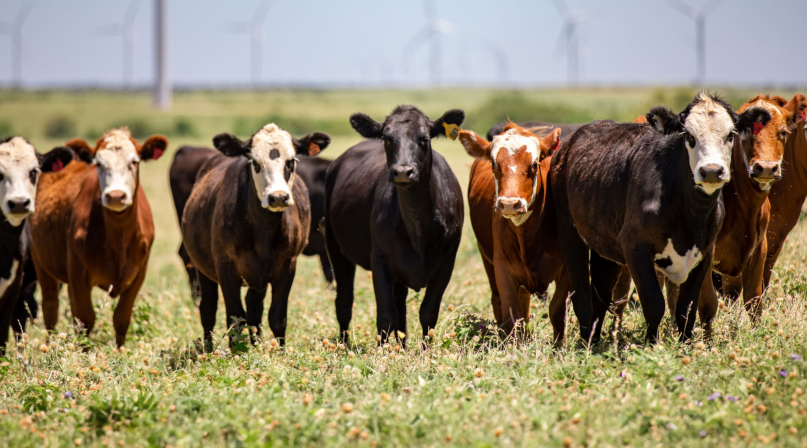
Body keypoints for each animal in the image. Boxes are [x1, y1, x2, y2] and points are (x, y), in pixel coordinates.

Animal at [29, 128, 167, 347]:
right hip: (42, 263)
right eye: (99, 164)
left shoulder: (139, 273)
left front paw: (120, 351)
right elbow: (85, 319)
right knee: (50, 308)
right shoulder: (78, 273)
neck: (118, 236)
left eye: (134, 162)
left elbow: (121, 318)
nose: (116, 196)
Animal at [325, 106, 465, 345]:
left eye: (424, 139)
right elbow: (385, 316)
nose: (402, 171)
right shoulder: (380, 259)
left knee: (400, 305)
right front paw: (382, 351)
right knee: (344, 301)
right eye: (386, 138)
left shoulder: (447, 261)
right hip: (335, 248)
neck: (418, 225)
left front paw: (424, 350)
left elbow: (428, 312)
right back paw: (344, 345)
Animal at [461, 123, 572, 341]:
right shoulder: (503, 267)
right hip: (487, 258)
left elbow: (557, 310)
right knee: (500, 301)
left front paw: (559, 346)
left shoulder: (568, 268)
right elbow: (512, 313)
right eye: (494, 164)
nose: (509, 204)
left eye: (534, 164)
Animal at [550, 92, 770, 344]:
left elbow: (686, 307)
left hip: (603, 247)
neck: (689, 213)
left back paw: (594, 342)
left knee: (600, 294)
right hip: (570, 233)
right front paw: (651, 345)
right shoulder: (635, 247)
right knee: (582, 295)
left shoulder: (705, 253)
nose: (712, 171)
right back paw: (586, 342)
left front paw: (686, 344)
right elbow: (654, 303)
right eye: (689, 135)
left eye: (730, 134)